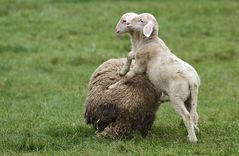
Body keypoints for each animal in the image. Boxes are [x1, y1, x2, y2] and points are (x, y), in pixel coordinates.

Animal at [109, 12, 200, 143]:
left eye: (141, 20)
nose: (118, 29)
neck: (150, 41)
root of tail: (192, 82)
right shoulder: (137, 55)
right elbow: (130, 55)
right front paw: (122, 70)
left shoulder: (141, 65)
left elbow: (128, 76)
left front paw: (113, 86)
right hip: (190, 98)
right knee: (194, 114)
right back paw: (193, 132)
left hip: (177, 98)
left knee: (187, 116)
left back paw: (192, 139)